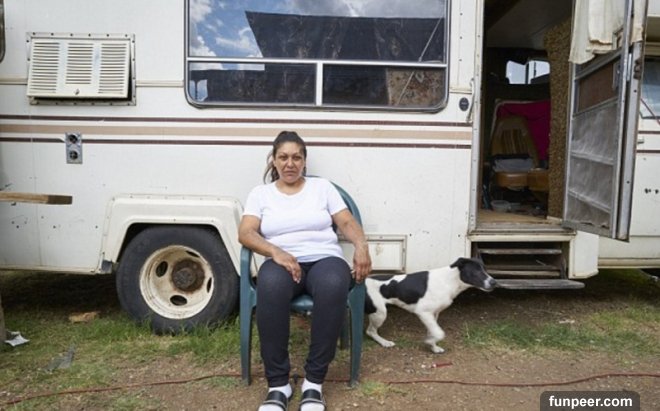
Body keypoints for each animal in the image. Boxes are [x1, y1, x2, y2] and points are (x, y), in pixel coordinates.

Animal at [365, 257, 497, 353]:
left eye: (485, 270)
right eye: (476, 271)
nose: (494, 282)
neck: (449, 281)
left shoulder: (434, 314)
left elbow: (432, 331)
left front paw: (433, 346)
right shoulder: (423, 312)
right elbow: (439, 333)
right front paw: (429, 342)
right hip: (380, 313)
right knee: (370, 331)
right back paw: (384, 342)